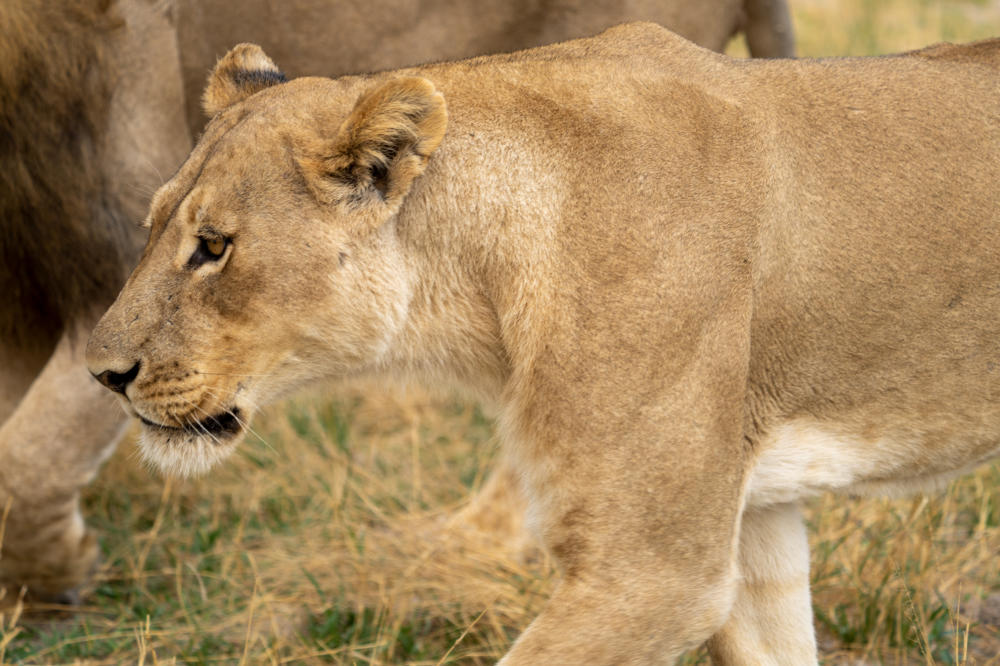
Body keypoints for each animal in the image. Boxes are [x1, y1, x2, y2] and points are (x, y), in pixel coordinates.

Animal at [1, 0, 794, 603]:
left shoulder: (107, 198)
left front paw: (54, 581)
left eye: (215, 247)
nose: (107, 376)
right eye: (159, 228)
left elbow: (26, 463)